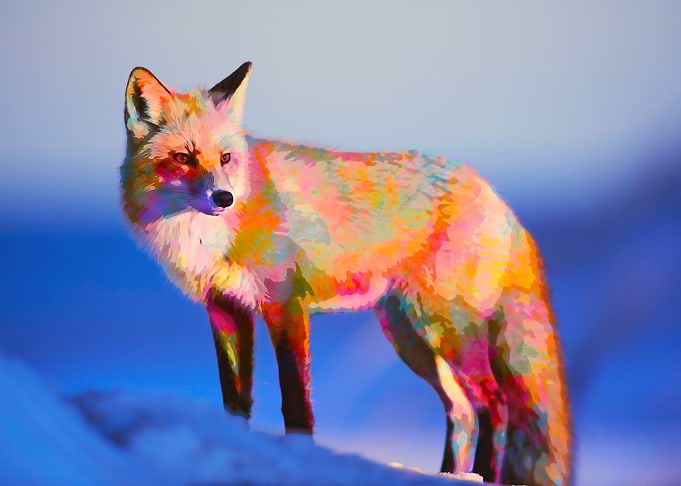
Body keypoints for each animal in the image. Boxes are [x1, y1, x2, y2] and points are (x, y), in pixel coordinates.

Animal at [120, 62, 571, 485]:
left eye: (226, 158)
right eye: (183, 157)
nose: (224, 198)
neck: (206, 237)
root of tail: (494, 194)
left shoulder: (286, 304)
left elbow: (295, 401)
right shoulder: (225, 308)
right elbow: (235, 400)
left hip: (447, 330)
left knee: (495, 403)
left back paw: (481, 477)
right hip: (411, 339)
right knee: (462, 411)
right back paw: (449, 475)